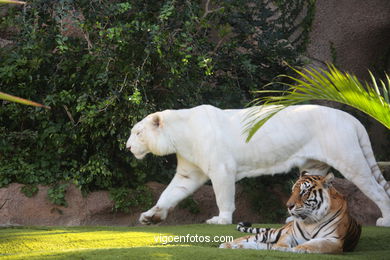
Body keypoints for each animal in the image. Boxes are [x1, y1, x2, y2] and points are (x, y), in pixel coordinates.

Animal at [125, 103, 390, 225]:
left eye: (137, 133)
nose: (127, 147)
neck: (179, 136)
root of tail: (351, 118)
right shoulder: (188, 173)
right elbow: (168, 194)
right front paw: (150, 216)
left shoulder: (221, 169)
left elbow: (223, 196)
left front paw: (221, 220)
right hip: (314, 167)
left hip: (350, 159)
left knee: (377, 190)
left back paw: (384, 220)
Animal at [221, 172, 362, 253]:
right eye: (293, 191)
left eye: (304, 192)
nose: (288, 206)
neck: (310, 221)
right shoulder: (290, 234)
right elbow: (283, 242)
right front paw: (281, 247)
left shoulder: (333, 240)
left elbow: (315, 245)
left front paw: (298, 249)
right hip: (272, 233)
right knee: (248, 238)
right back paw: (226, 244)